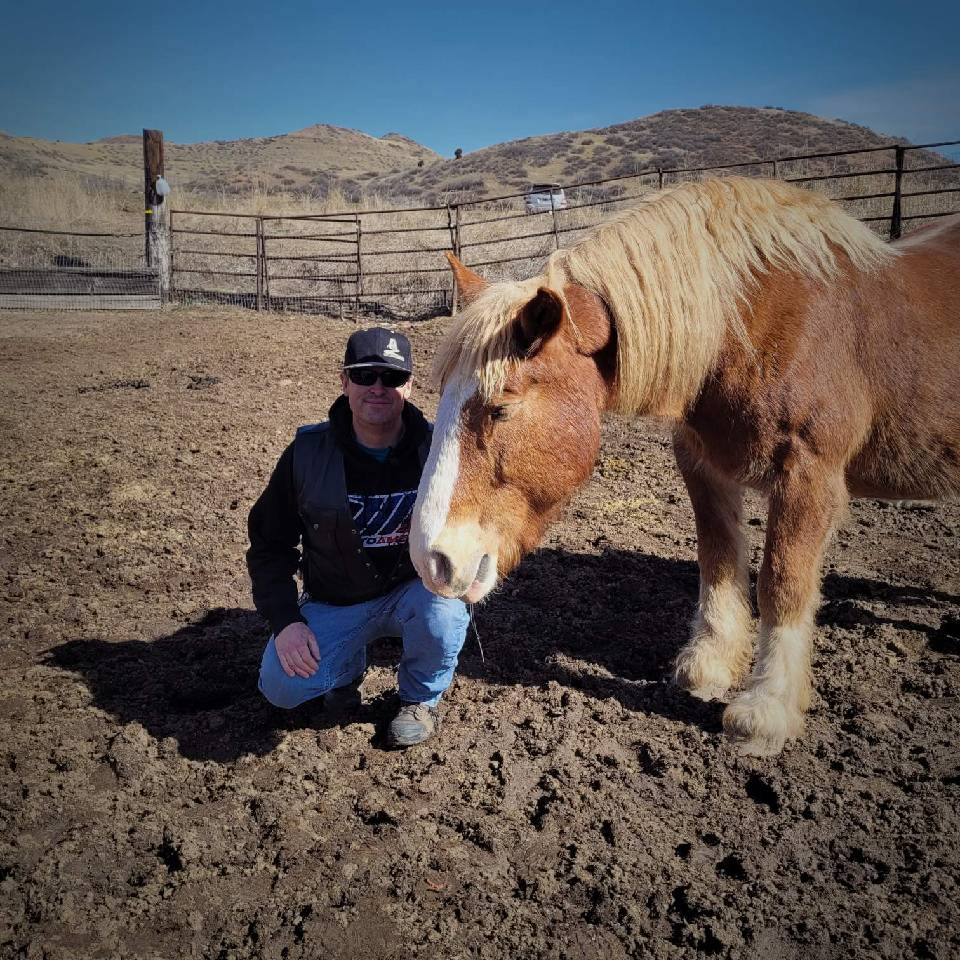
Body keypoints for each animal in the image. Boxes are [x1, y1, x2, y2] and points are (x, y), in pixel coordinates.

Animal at [409, 176, 960, 756]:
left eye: (501, 408)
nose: (431, 560)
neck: (748, 327)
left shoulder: (808, 475)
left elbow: (782, 581)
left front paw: (766, 710)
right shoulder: (702, 464)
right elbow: (718, 559)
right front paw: (709, 666)